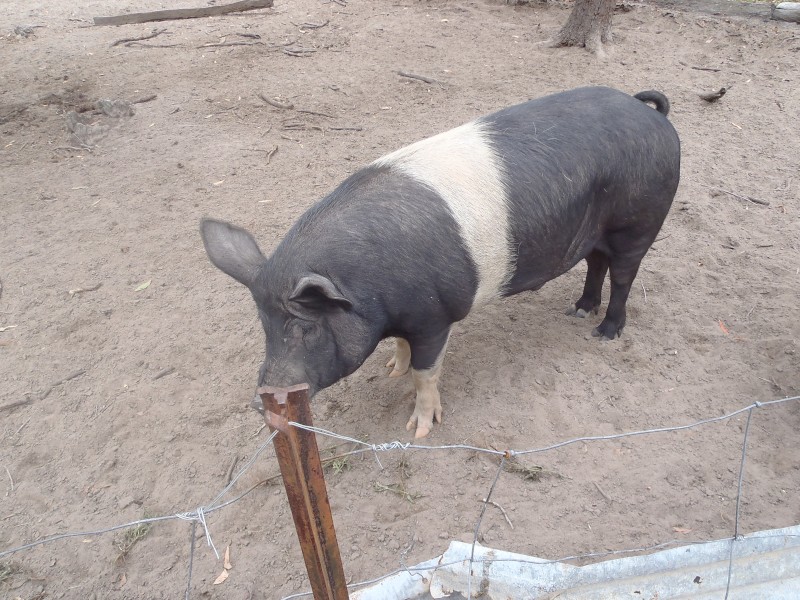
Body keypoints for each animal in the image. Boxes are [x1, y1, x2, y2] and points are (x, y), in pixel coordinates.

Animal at [201, 86, 680, 438]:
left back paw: (604, 332)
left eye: (305, 328)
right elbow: (402, 350)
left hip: (639, 222)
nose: (262, 402)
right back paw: (579, 310)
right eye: (263, 327)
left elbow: (426, 372)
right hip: (598, 233)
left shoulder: (435, 316)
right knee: (596, 265)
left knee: (623, 276)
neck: (367, 292)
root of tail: (651, 114)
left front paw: (420, 430)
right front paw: (391, 370)